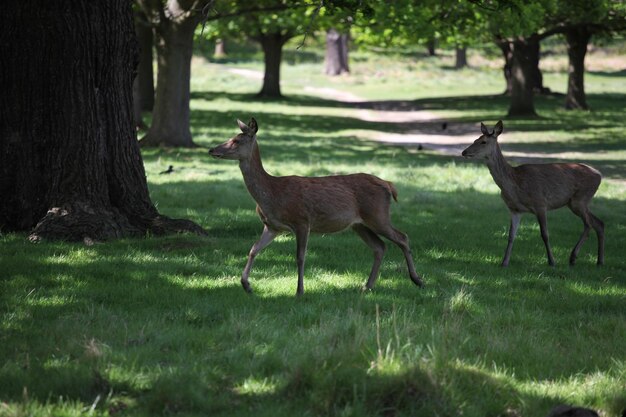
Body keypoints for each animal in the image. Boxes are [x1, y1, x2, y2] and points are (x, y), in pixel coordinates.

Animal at [207, 116, 422, 296]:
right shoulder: (273, 226)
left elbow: (300, 257)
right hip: (359, 224)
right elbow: (253, 249)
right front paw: (246, 285)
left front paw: (299, 291)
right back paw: (367, 286)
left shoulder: (302, 220)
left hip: (377, 215)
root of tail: (389, 184)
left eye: (236, 140)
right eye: (231, 137)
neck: (273, 194)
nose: (212, 150)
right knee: (380, 246)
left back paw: (417, 280)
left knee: (402, 237)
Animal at [460, 119, 604, 266]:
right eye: (475, 139)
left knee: (589, 224)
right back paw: (599, 261)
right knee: (599, 223)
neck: (515, 185)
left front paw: (552, 261)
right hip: (576, 202)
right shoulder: (514, 209)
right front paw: (504, 262)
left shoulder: (540, 203)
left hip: (580, 199)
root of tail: (599, 175)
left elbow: (545, 234)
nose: (464, 152)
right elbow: (511, 235)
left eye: (483, 142)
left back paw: (573, 257)